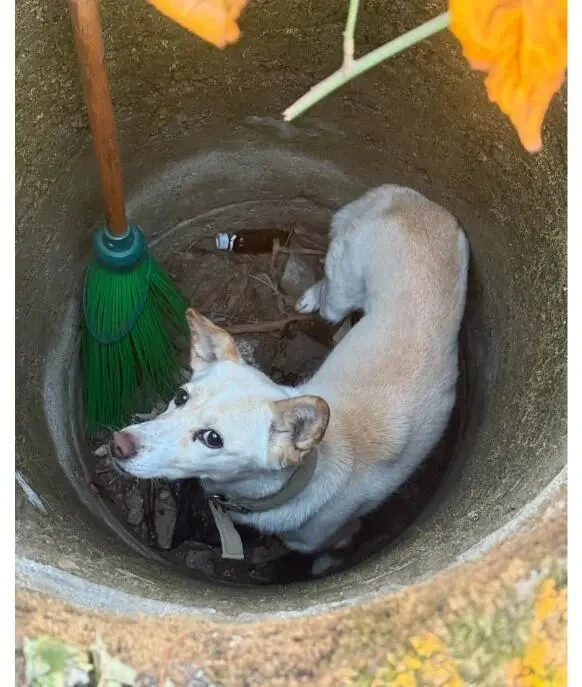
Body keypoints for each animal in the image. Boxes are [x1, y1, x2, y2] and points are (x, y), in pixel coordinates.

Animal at [112, 184, 472, 576]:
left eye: (212, 439)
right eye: (180, 397)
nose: (119, 444)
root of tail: (407, 199)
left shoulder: (324, 536)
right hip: (347, 287)